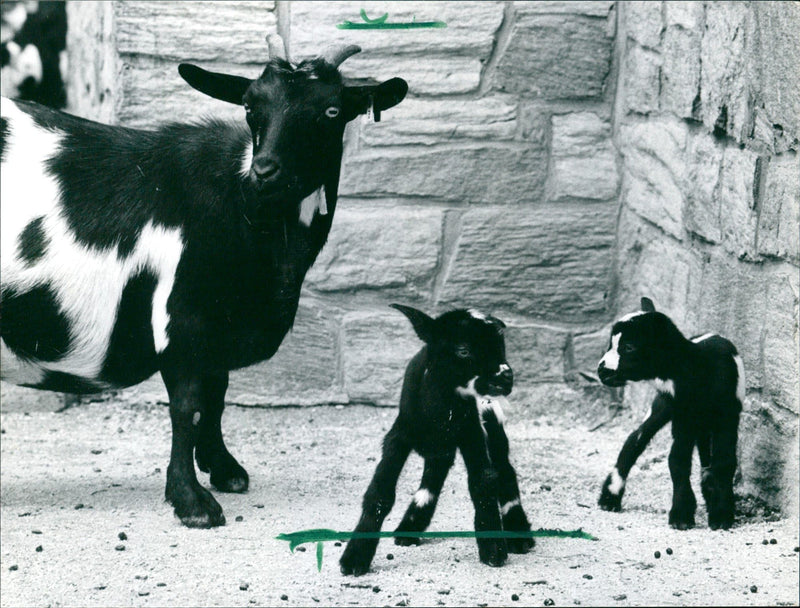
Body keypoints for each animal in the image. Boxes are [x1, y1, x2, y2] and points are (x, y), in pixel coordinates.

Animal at [0, 36, 407, 528]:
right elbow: (188, 408)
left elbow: (217, 397)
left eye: (331, 111)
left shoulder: (217, 327)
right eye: (250, 106)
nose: (265, 170)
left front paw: (225, 469)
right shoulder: (183, 318)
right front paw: (192, 502)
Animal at [340, 305, 534, 576]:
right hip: (440, 448)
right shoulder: (398, 437)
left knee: (504, 470)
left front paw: (494, 550)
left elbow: (483, 483)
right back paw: (409, 528)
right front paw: (354, 558)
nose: (506, 377)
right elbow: (380, 493)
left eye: (501, 346)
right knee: (435, 473)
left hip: (493, 427)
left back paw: (520, 535)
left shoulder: (473, 433)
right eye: (463, 350)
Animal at [596, 297, 744, 530]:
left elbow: (724, 462)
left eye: (629, 347)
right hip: (663, 404)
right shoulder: (681, 413)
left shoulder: (727, 417)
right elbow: (677, 460)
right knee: (636, 438)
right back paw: (610, 497)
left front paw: (721, 515)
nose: (602, 371)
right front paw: (682, 516)